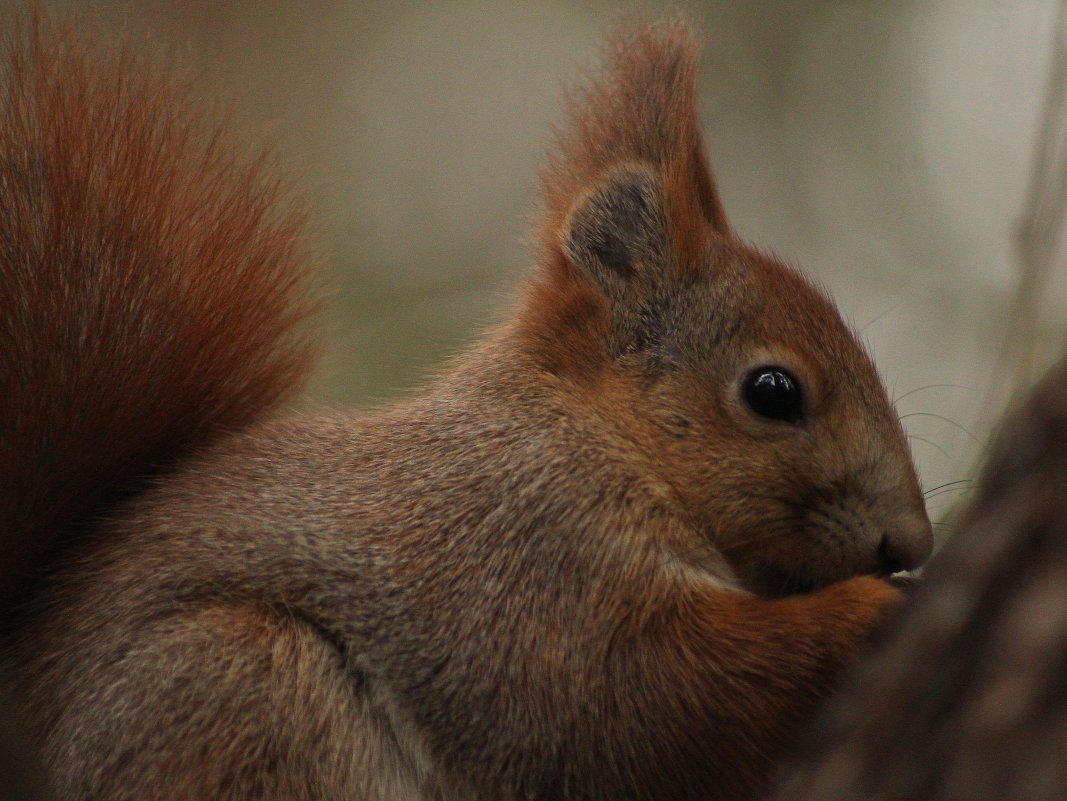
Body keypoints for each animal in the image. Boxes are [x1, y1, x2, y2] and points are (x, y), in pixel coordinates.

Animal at [2, 10, 934, 801]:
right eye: (773, 392)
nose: (911, 542)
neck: (594, 436)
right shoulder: (523, 558)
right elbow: (631, 694)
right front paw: (868, 608)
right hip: (241, 687)